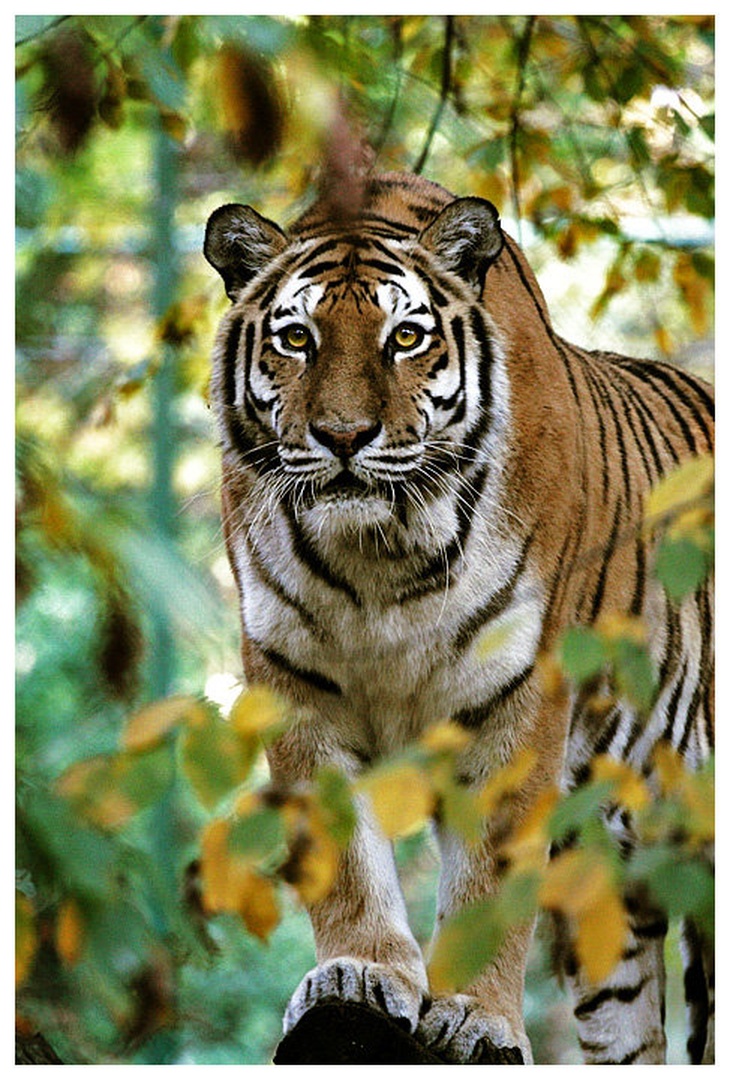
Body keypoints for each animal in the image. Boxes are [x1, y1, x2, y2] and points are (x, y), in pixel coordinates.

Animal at [203, 171, 714, 1065]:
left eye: (405, 337)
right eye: (296, 339)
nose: (343, 436)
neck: (376, 556)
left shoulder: (520, 692)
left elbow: (493, 879)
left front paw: (477, 1016)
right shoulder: (294, 686)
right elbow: (346, 863)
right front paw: (358, 975)